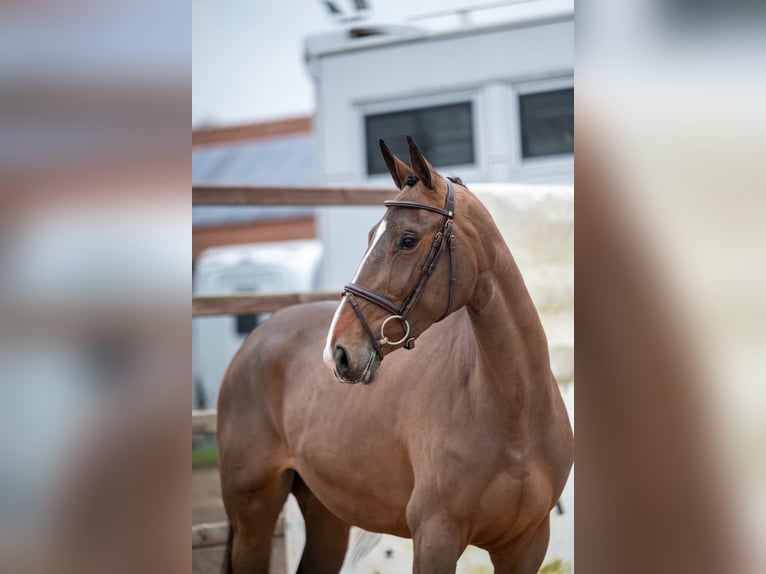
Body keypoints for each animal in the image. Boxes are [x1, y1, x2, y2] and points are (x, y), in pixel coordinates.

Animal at [219, 137, 572, 572]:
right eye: (372, 234)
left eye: (407, 239)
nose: (338, 353)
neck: (513, 412)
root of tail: (256, 339)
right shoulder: (436, 536)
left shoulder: (526, 546)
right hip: (253, 513)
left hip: (326, 516)